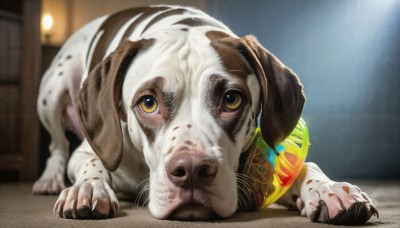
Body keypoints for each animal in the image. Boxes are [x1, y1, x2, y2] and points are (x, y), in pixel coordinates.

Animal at [34, 4, 378, 223]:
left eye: (231, 99)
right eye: (148, 103)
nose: (191, 171)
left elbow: (305, 166)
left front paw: (329, 189)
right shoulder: (92, 149)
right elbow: (92, 162)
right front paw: (88, 188)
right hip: (51, 91)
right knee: (56, 146)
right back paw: (49, 179)